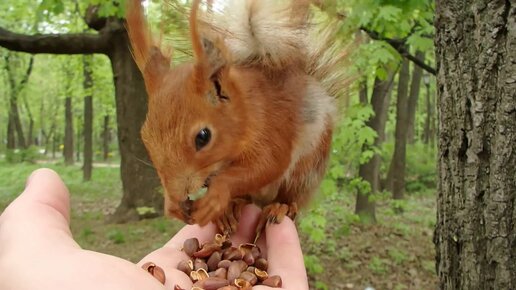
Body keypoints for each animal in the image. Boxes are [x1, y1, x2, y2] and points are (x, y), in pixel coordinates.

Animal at [126, 0, 348, 234]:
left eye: (203, 137)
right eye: (144, 136)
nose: (178, 194)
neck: (246, 110)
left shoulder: (273, 129)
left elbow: (268, 165)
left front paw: (216, 196)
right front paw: (172, 204)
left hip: (307, 168)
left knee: (293, 195)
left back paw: (280, 206)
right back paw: (232, 208)